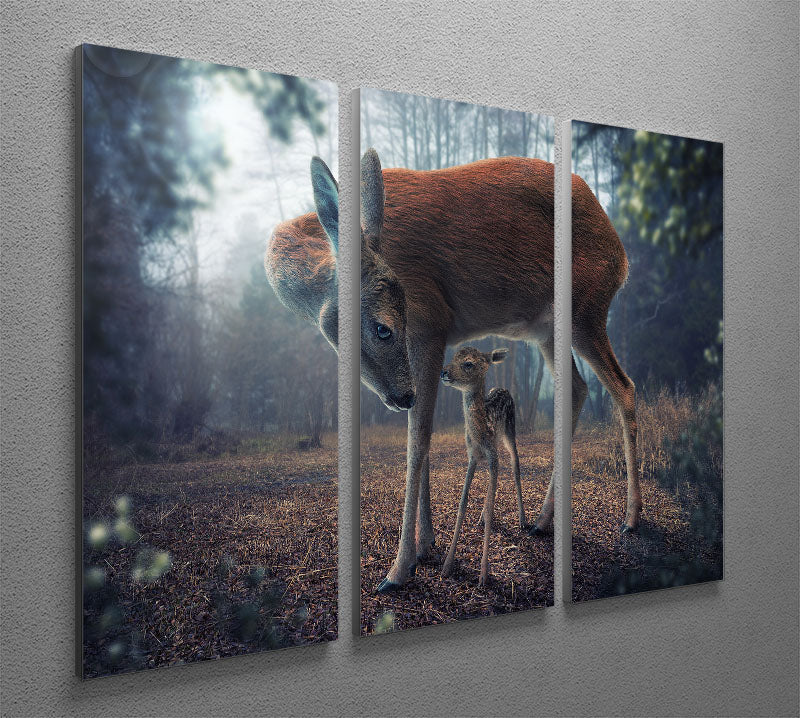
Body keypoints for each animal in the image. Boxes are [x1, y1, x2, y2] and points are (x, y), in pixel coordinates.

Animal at [440, 346, 524, 586]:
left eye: (468, 363)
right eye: (453, 357)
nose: (443, 372)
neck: (480, 434)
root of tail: (502, 388)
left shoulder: (492, 456)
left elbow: (493, 497)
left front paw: (484, 575)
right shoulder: (473, 457)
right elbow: (463, 502)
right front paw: (447, 566)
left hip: (509, 431)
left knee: (515, 465)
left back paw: (523, 520)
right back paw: (482, 517)